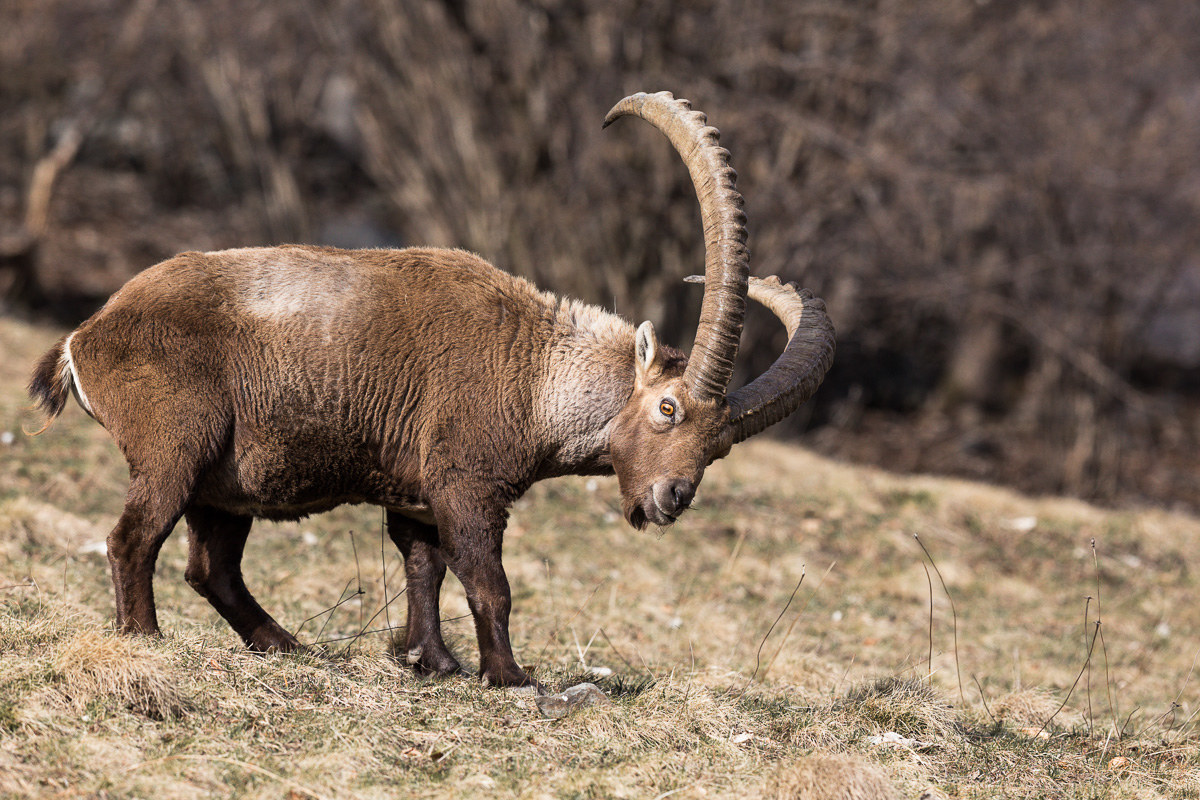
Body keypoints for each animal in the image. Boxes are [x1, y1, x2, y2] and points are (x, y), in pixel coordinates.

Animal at [28, 92, 835, 688]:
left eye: (720, 446)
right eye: (668, 408)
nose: (671, 499)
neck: (535, 372)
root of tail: (88, 336)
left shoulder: (414, 492)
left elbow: (424, 566)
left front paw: (431, 661)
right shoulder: (466, 483)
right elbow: (487, 578)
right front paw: (508, 676)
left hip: (226, 485)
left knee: (211, 567)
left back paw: (286, 645)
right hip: (176, 446)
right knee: (132, 538)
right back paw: (146, 637)